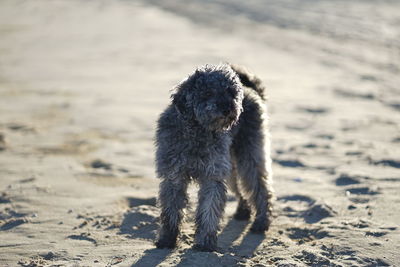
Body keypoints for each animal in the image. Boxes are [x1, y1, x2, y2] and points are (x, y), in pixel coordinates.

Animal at [155, 63, 274, 252]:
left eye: (230, 92)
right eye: (208, 92)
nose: (227, 108)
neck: (197, 130)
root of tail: (250, 90)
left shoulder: (212, 176)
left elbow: (209, 209)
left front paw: (204, 242)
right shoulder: (173, 176)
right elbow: (171, 210)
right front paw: (167, 239)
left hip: (249, 154)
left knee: (260, 187)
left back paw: (261, 221)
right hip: (231, 166)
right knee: (240, 187)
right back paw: (243, 211)